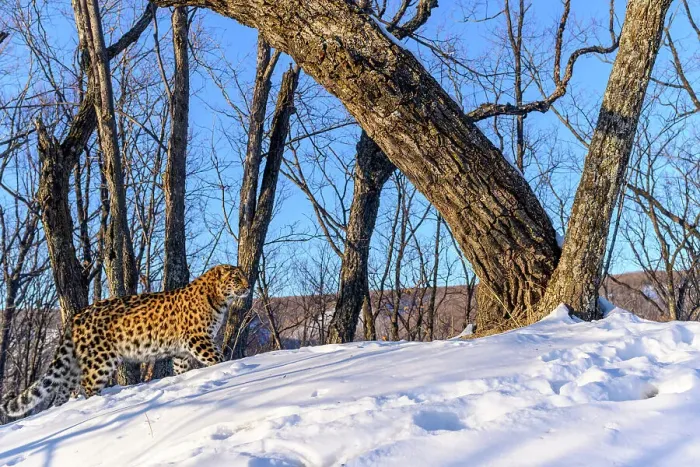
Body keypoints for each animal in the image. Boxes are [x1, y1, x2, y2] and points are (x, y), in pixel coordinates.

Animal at [1, 264, 249, 418]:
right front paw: (230, 369)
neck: (220, 298)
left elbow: (182, 369)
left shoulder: (183, 351)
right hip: (101, 361)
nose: (248, 287)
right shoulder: (198, 338)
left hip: (75, 363)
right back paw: (97, 405)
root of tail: (76, 316)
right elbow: (218, 358)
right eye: (236, 278)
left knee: (63, 389)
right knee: (88, 386)